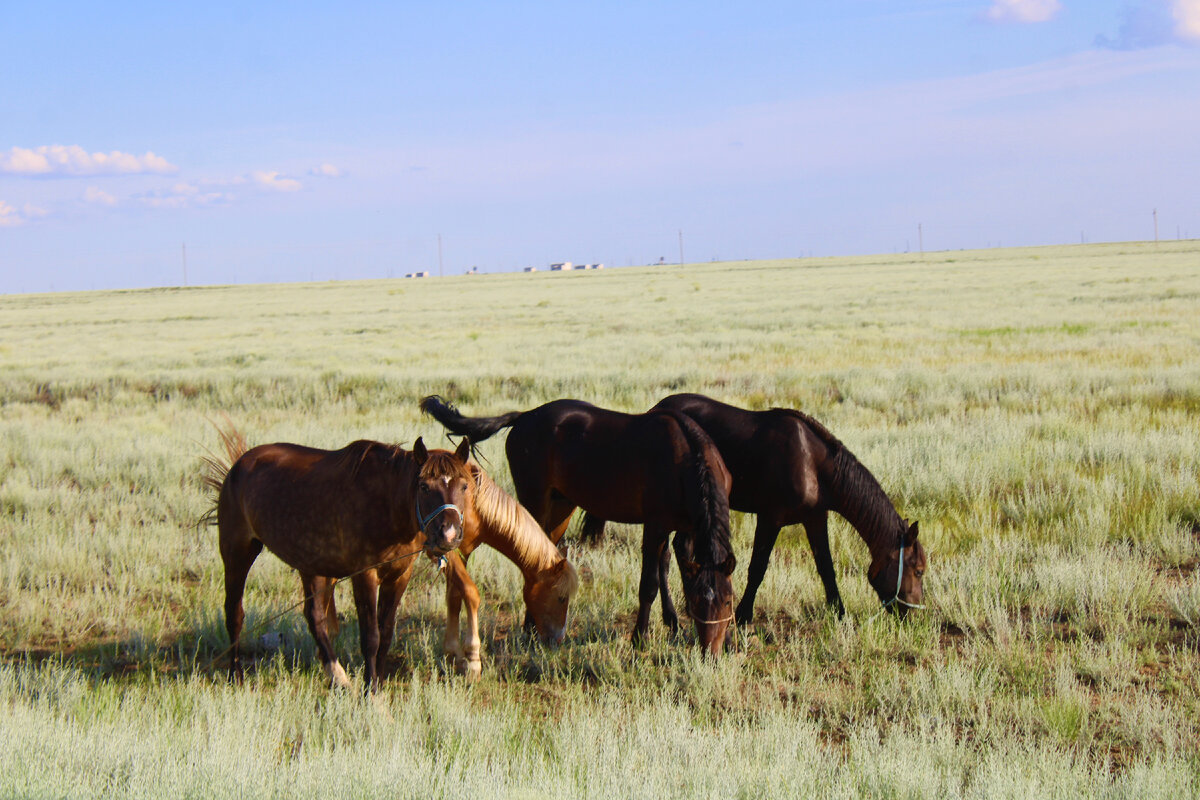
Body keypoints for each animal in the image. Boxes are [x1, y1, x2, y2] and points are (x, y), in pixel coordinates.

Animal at [422, 395, 739, 657]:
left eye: (727, 601)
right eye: (701, 602)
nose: (711, 653)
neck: (686, 459)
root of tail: (524, 416)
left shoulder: (687, 528)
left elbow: (681, 572)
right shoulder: (655, 526)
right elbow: (649, 583)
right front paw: (640, 638)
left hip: (562, 505)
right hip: (535, 500)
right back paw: (529, 629)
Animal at [580, 393, 926, 623]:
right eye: (919, 570)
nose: (915, 615)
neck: (813, 463)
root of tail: (654, 411)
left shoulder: (815, 518)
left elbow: (825, 567)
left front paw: (839, 613)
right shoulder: (770, 517)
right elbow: (758, 568)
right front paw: (744, 615)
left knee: (679, 549)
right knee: (667, 555)